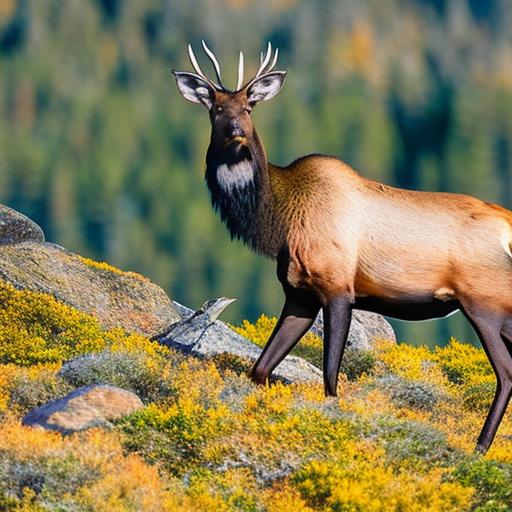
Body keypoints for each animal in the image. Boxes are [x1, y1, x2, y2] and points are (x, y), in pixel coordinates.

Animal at [173, 42, 512, 454]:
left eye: (249, 106)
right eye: (216, 108)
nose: (236, 132)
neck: (278, 224)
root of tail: (508, 227)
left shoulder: (338, 288)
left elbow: (331, 379)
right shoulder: (300, 295)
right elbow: (260, 368)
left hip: (485, 303)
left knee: (507, 373)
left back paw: (480, 447)